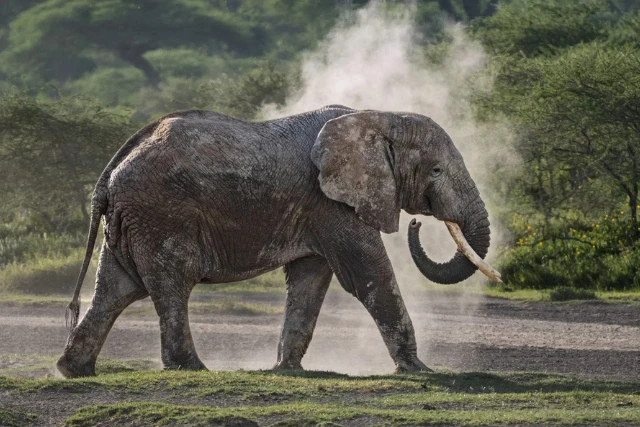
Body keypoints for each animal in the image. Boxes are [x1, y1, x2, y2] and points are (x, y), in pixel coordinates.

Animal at [57, 105, 498, 378]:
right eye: (436, 170)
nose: (418, 224)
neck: (380, 117)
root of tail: (111, 171)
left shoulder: (318, 208)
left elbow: (310, 281)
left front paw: (287, 370)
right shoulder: (330, 202)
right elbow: (366, 273)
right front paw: (419, 370)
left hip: (132, 220)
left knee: (114, 290)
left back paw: (72, 370)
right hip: (161, 215)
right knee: (170, 284)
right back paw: (192, 368)